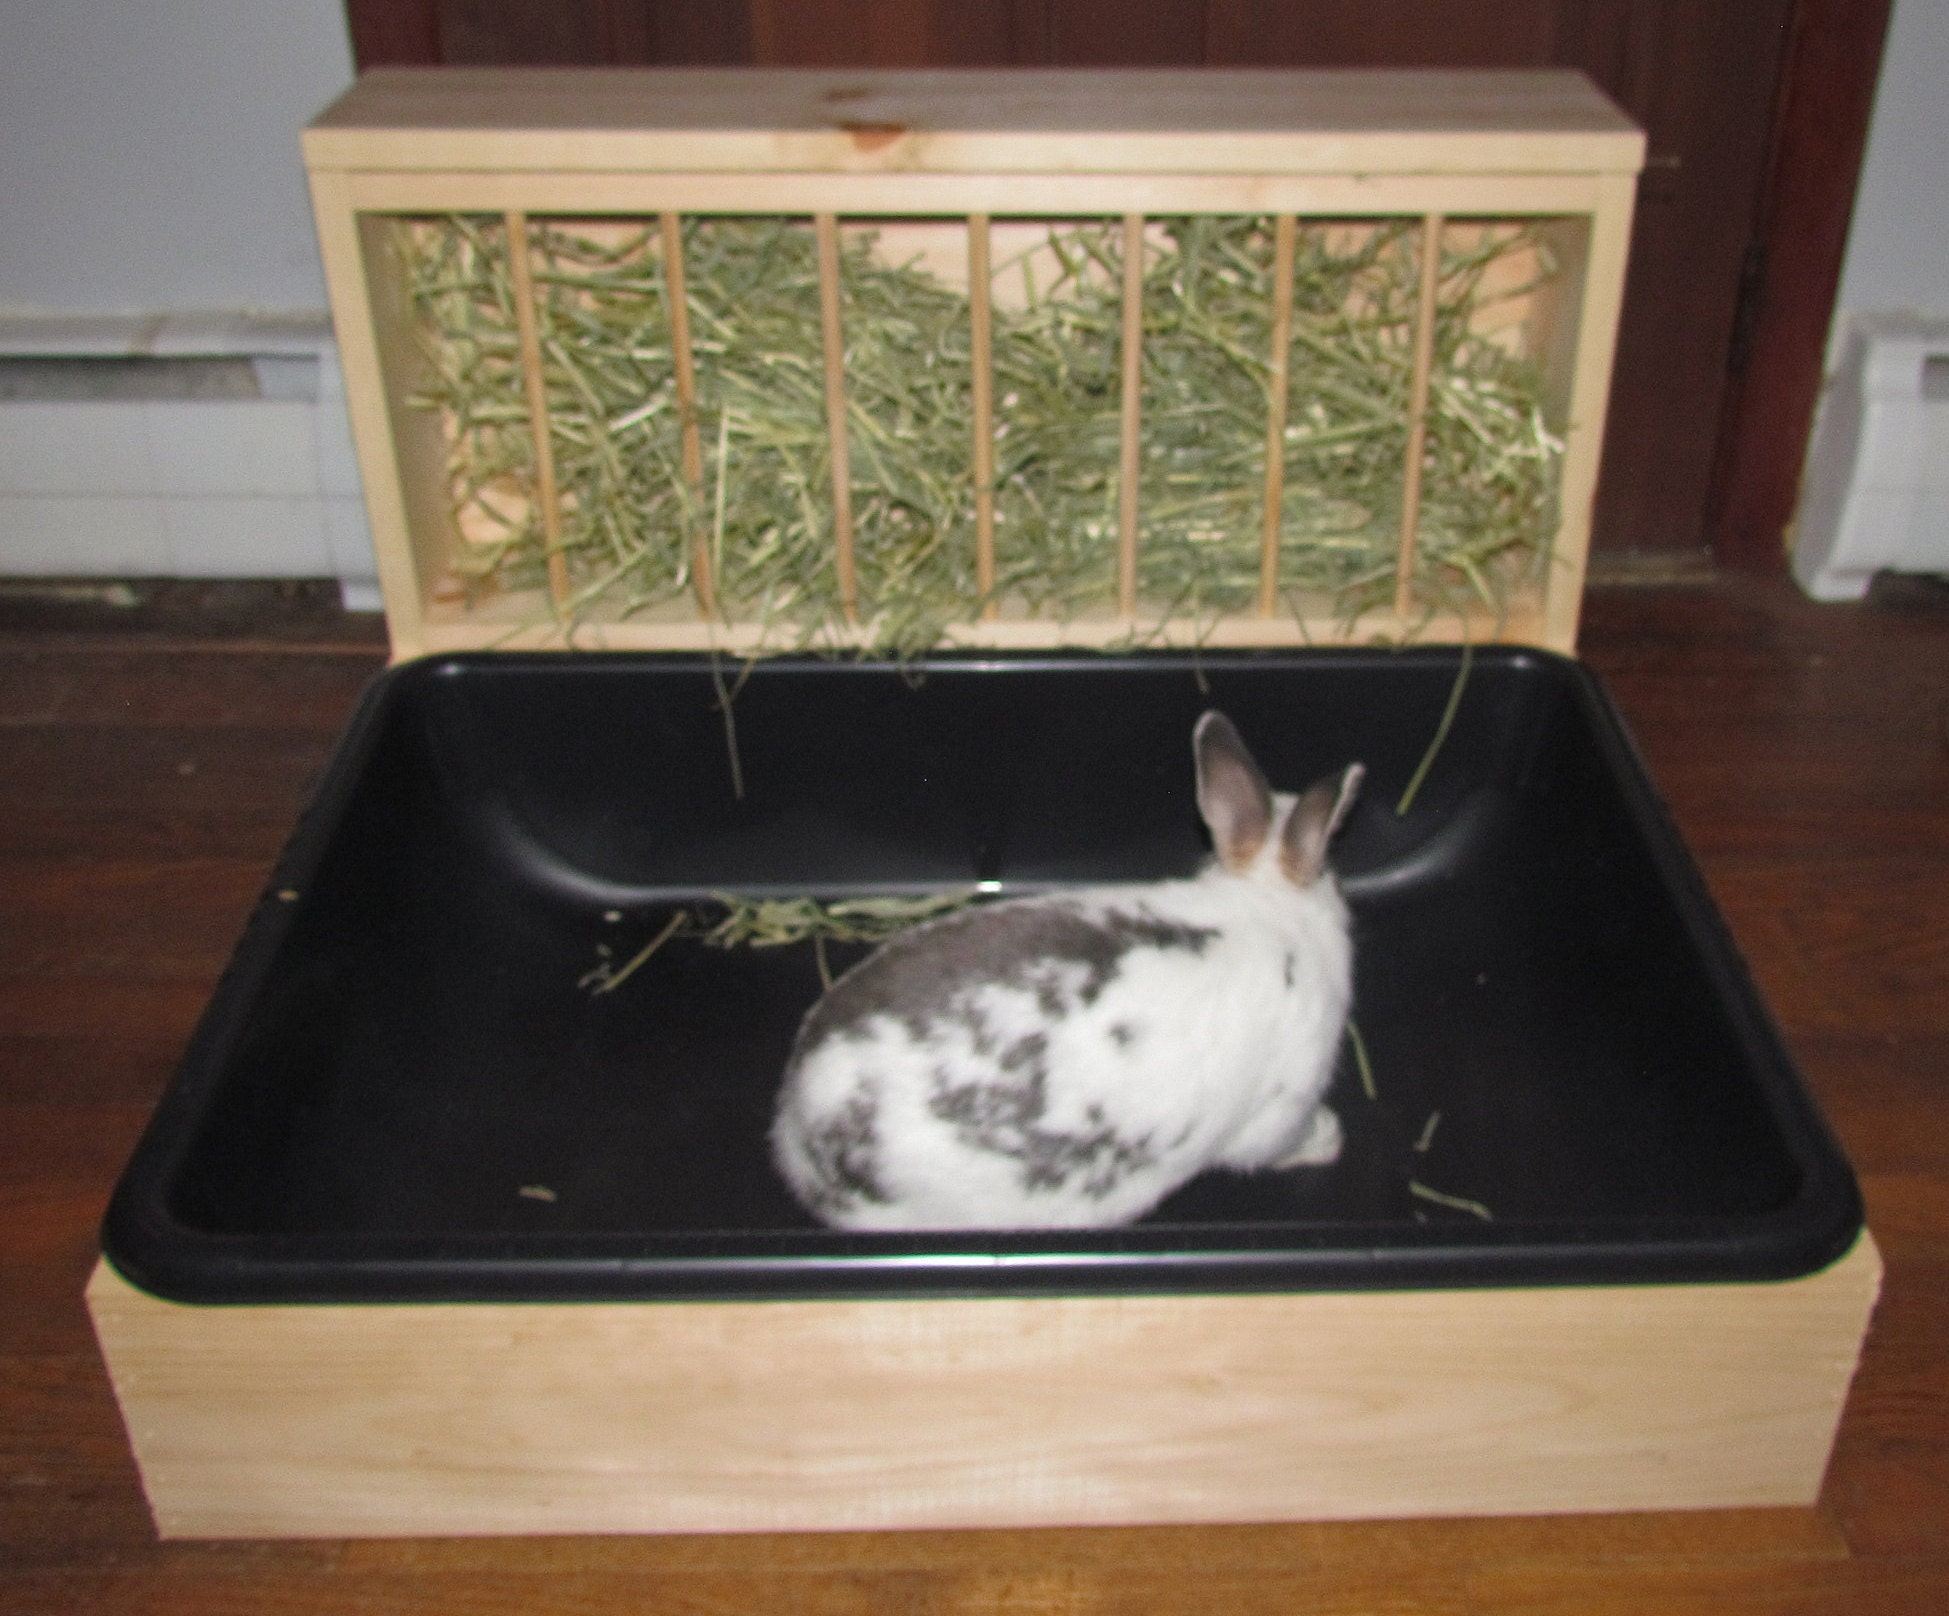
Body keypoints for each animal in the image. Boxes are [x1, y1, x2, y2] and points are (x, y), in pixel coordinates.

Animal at [770, 711, 1363, 1230]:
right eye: (1334, 872)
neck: (1270, 904)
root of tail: (795, 1127)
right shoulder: (1281, 1113)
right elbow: (1283, 1144)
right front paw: (1330, 1137)